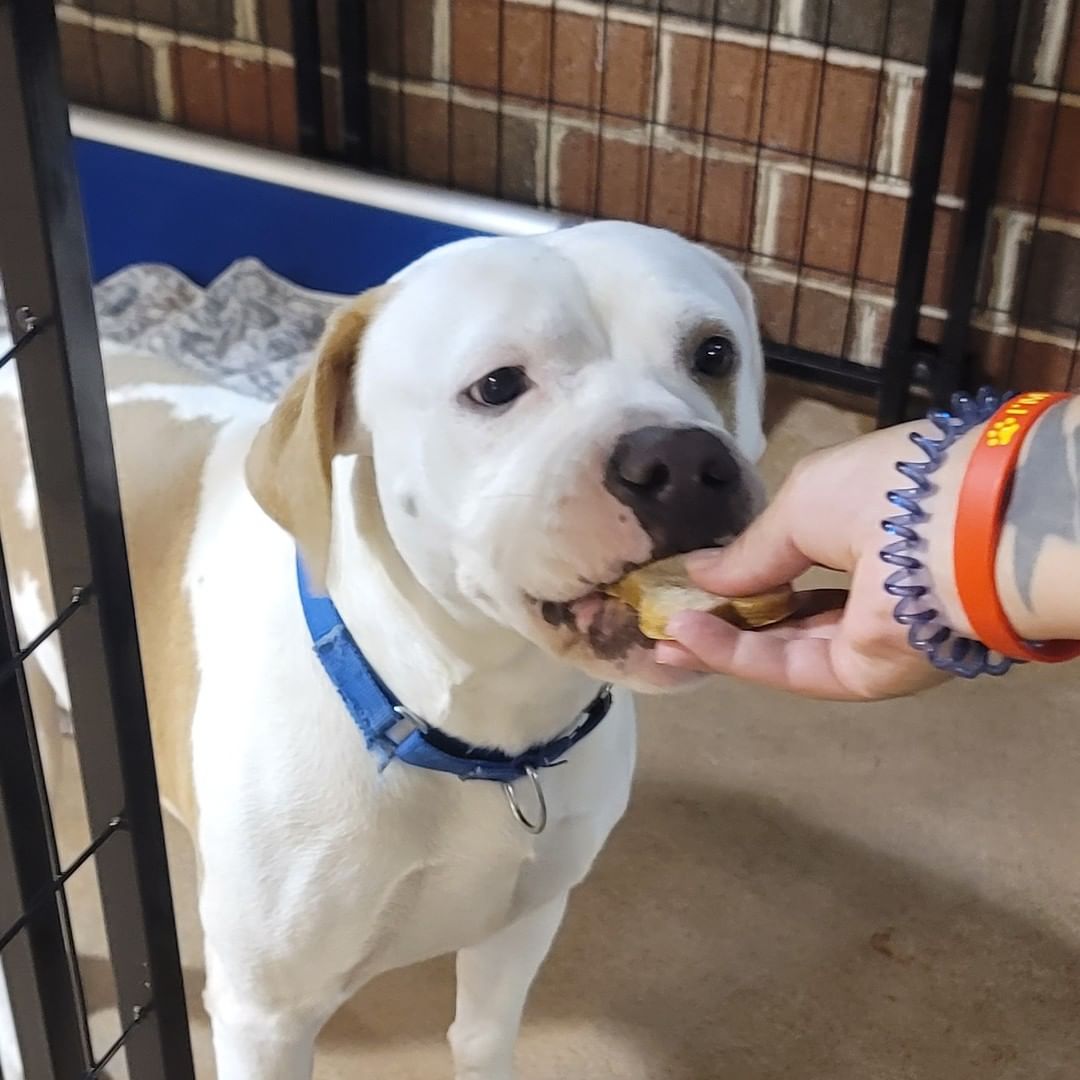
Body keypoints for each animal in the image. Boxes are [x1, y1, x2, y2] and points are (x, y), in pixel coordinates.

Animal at [0, 221, 764, 1080]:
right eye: (497, 385)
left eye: (713, 353)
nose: (684, 464)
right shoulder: (265, 1019)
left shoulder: (522, 925)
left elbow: (482, 1039)